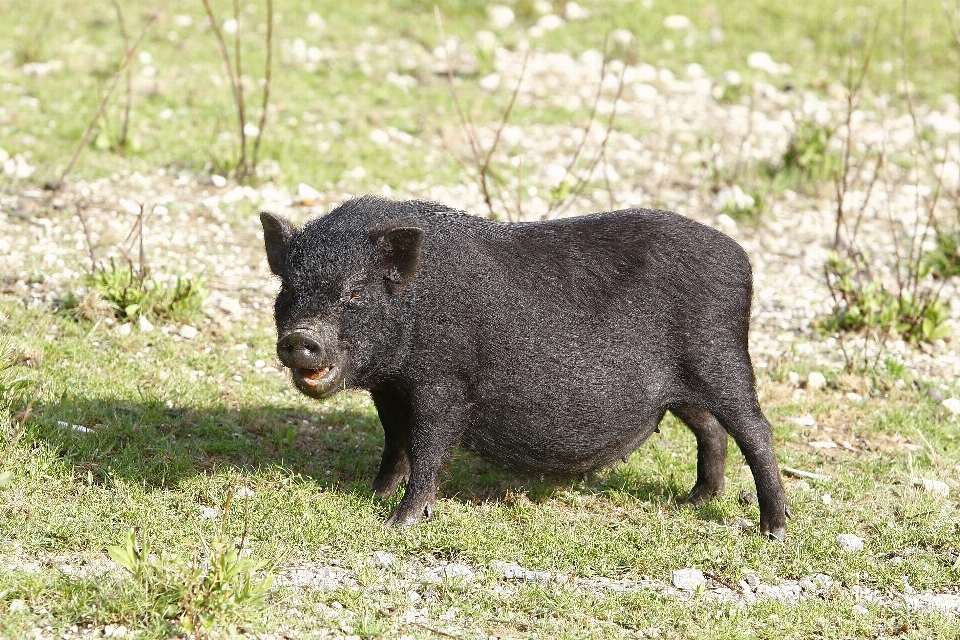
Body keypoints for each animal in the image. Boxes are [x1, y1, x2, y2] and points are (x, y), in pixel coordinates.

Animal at [260, 198, 788, 536]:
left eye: (355, 292)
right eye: (287, 288)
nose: (301, 338)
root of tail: (742, 259)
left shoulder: (445, 383)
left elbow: (427, 447)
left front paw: (397, 522)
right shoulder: (390, 387)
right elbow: (395, 443)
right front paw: (373, 497)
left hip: (722, 358)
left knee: (756, 431)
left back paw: (772, 530)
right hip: (680, 386)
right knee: (710, 429)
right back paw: (694, 500)